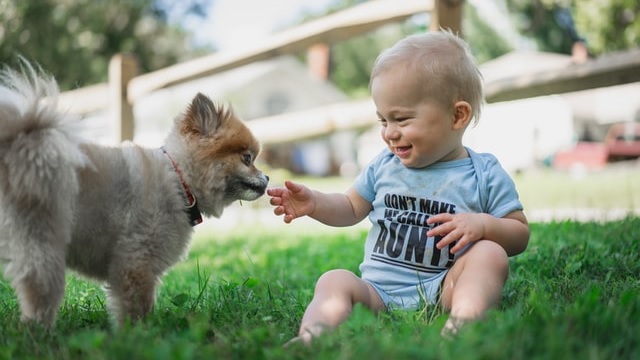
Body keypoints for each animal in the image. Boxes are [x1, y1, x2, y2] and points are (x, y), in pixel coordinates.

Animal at [0, 61, 270, 326]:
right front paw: (138, 333)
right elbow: (137, 305)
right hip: (43, 240)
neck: (179, 180)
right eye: (247, 159)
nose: (267, 178)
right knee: (40, 289)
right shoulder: (136, 260)